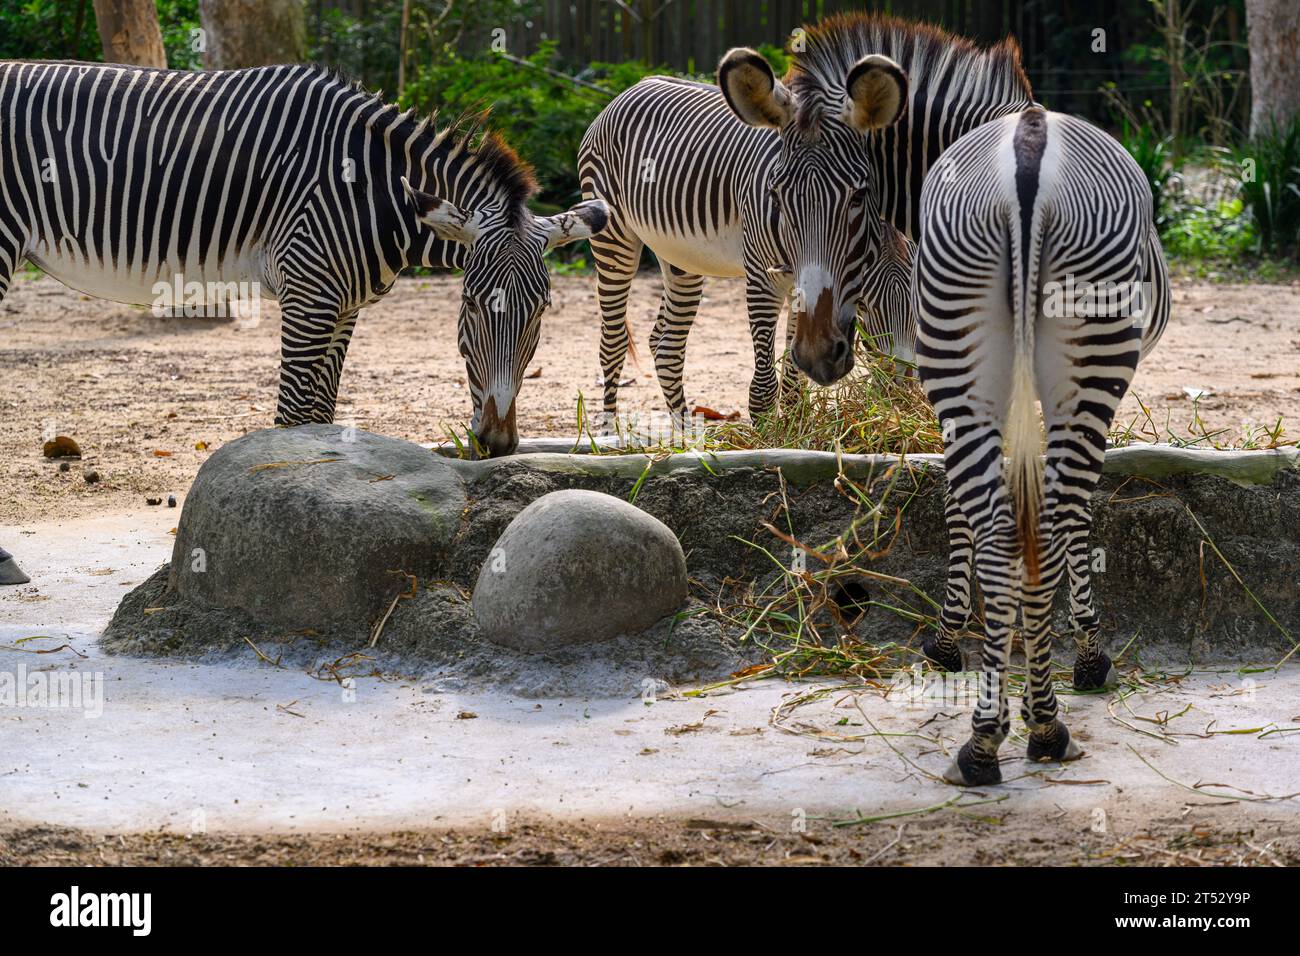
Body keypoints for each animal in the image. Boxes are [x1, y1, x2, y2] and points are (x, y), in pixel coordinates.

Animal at [0, 61, 606, 461]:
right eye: (475, 306)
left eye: (542, 313)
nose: (499, 444)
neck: (373, 190)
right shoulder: (309, 293)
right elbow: (293, 417)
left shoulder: (344, 304)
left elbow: (319, 414)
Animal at [577, 60, 911, 423]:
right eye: (869, 305)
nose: (902, 395)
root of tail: (632, 87)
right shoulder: (763, 277)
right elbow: (764, 388)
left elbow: (794, 378)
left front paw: (795, 427)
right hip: (613, 240)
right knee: (613, 343)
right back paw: (609, 430)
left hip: (680, 257)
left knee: (665, 347)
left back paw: (687, 434)